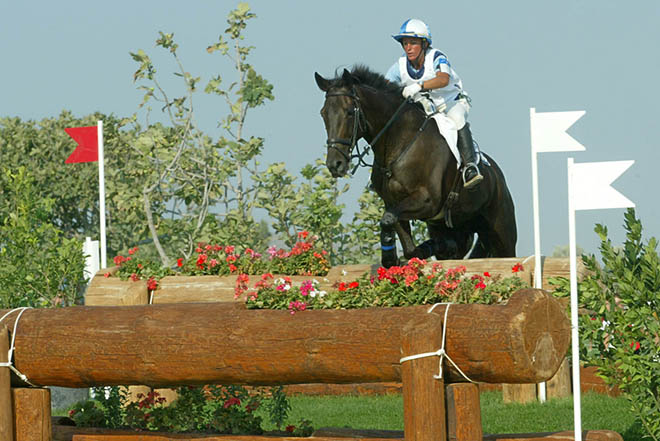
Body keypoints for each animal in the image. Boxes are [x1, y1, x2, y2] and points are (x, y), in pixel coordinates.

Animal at [318, 63, 520, 266]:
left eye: (349, 112)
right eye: (323, 114)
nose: (335, 164)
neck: (400, 143)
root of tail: (497, 175)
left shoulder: (427, 200)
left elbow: (388, 219)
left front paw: (392, 256)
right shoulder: (394, 203)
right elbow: (401, 237)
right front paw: (397, 255)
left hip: (501, 231)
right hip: (455, 223)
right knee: (457, 245)